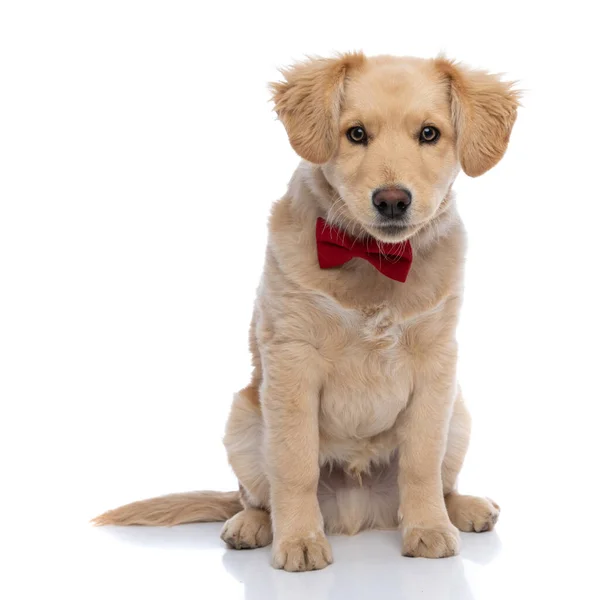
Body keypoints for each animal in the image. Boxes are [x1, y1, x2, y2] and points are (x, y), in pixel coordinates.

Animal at [95, 52, 520, 572]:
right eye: (355, 134)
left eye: (429, 134)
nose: (392, 200)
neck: (374, 258)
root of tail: (359, 509)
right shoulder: (293, 359)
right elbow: (295, 464)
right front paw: (298, 539)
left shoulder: (436, 365)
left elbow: (421, 462)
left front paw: (428, 529)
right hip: (243, 420)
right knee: (254, 496)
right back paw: (253, 525)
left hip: (458, 414)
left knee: (442, 480)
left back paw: (464, 508)